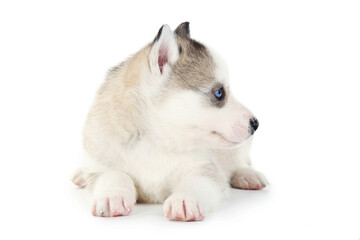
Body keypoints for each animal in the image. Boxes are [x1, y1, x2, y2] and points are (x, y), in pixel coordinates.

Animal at [71, 22, 268, 221]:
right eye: (219, 93)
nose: (255, 123)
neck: (156, 140)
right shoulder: (103, 164)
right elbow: (114, 175)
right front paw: (113, 196)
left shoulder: (203, 169)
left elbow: (195, 182)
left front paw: (185, 199)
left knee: (240, 160)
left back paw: (248, 175)